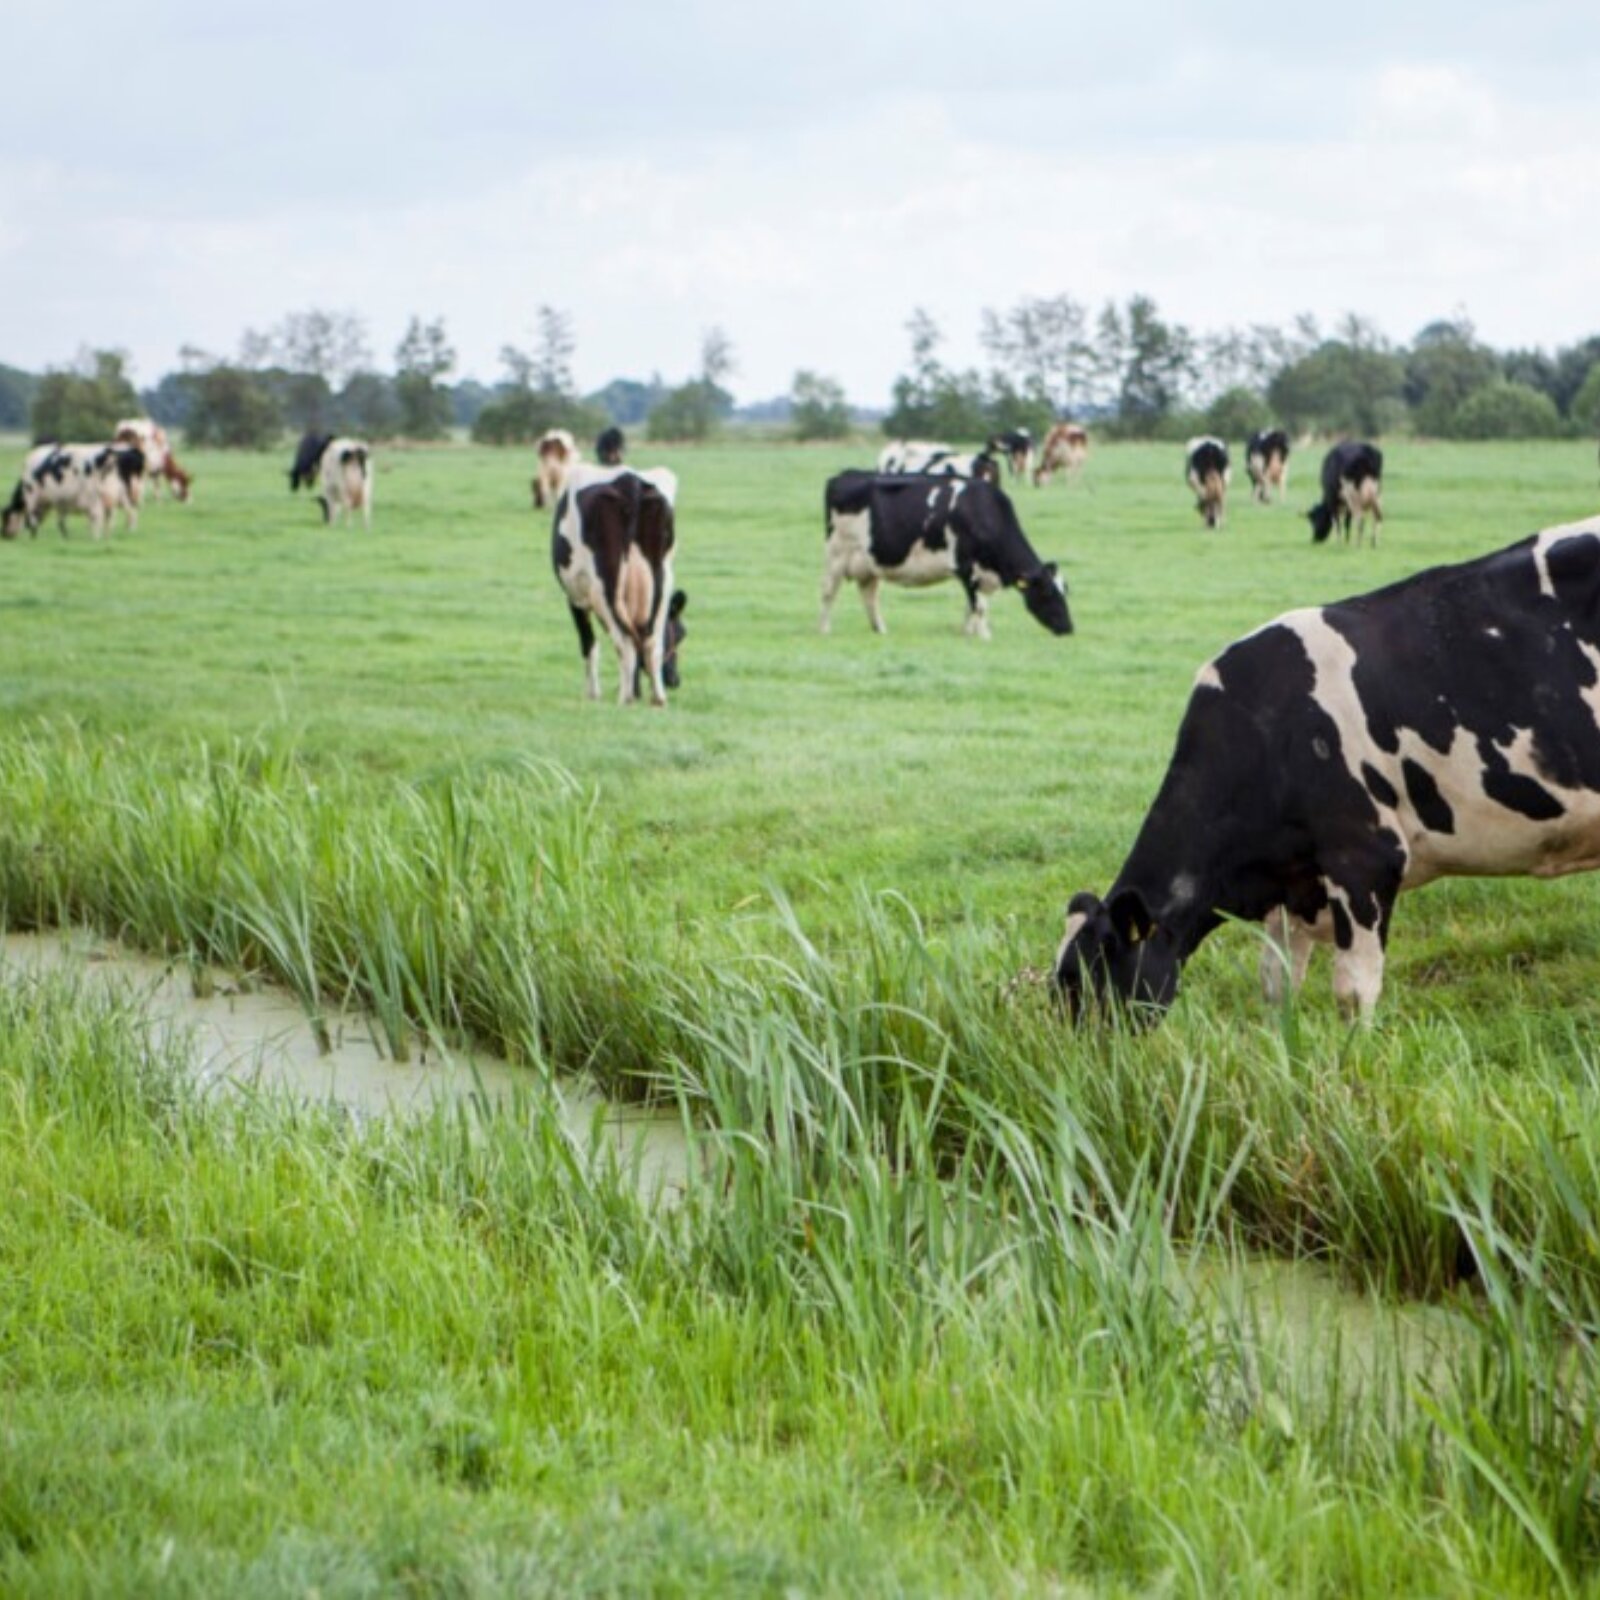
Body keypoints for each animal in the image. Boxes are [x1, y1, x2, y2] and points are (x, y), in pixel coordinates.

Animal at [552, 464, 687, 706]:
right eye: (682, 634)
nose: (674, 679)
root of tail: (629, 480)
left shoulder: (576, 597)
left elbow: (589, 644)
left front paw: (593, 694)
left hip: (605, 584)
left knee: (625, 642)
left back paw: (626, 698)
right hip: (662, 580)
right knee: (649, 641)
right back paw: (657, 699)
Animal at [820, 471, 1072, 640]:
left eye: (1066, 591)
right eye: (1047, 592)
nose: (1069, 628)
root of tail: (843, 476)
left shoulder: (981, 574)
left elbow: (973, 606)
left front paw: (968, 632)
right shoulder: (968, 569)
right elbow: (979, 606)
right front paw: (984, 635)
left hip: (869, 563)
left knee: (869, 596)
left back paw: (880, 630)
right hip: (836, 555)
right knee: (828, 592)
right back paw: (824, 629)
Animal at [1055, 516, 1600, 1026]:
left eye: (1094, 978)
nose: (1081, 1057)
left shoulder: (1366, 858)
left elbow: (1354, 992)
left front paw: (1355, 1054)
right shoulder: (1292, 883)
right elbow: (1277, 983)